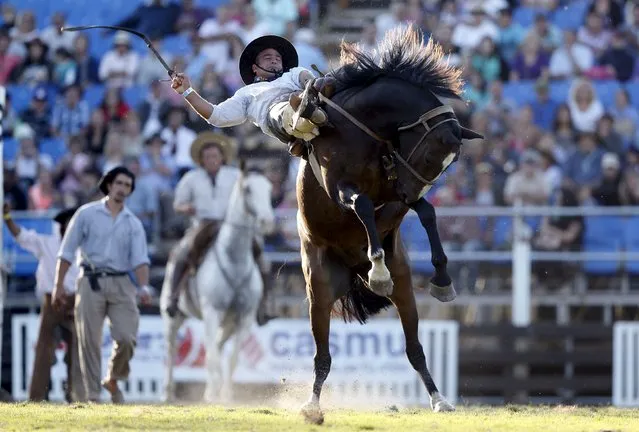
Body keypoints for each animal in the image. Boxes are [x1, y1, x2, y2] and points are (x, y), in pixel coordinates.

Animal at [160, 164, 276, 404]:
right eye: (247, 189)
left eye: (269, 189)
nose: (267, 221)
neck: (234, 261)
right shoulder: (211, 312)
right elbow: (212, 354)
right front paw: (213, 393)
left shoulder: (245, 318)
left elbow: (231, 358)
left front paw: (226, 394)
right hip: (172, 317)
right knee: (172, 349)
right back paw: (168, 393)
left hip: (228, 322)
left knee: (219, 346)